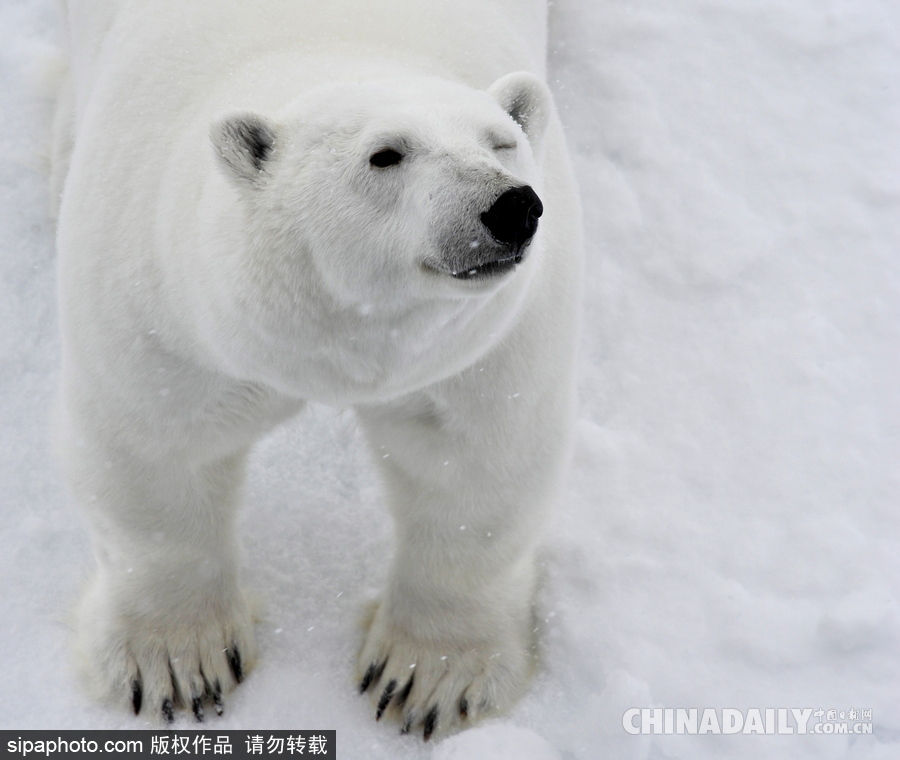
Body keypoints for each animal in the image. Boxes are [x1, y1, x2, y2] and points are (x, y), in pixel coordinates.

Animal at [54, 0, 584, 740]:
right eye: (386, 154)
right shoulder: (163, 309)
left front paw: (427, 679)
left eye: (501, 142)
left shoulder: (484, 346)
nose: (511, 207)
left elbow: (477, 468)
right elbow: (151, 452)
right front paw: (176, 666)